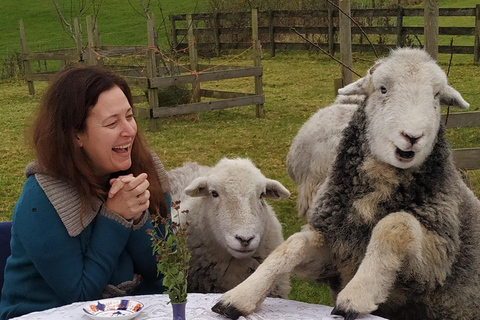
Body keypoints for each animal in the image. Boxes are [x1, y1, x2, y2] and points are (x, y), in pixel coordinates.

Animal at [214, 47, 480, 320]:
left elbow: (395, 224)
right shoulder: (332, 253)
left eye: (437, 95)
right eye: (382, 89)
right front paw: (242, 294)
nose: (413, 137)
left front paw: (357, 294)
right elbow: (291, 246)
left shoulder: (438, 261)